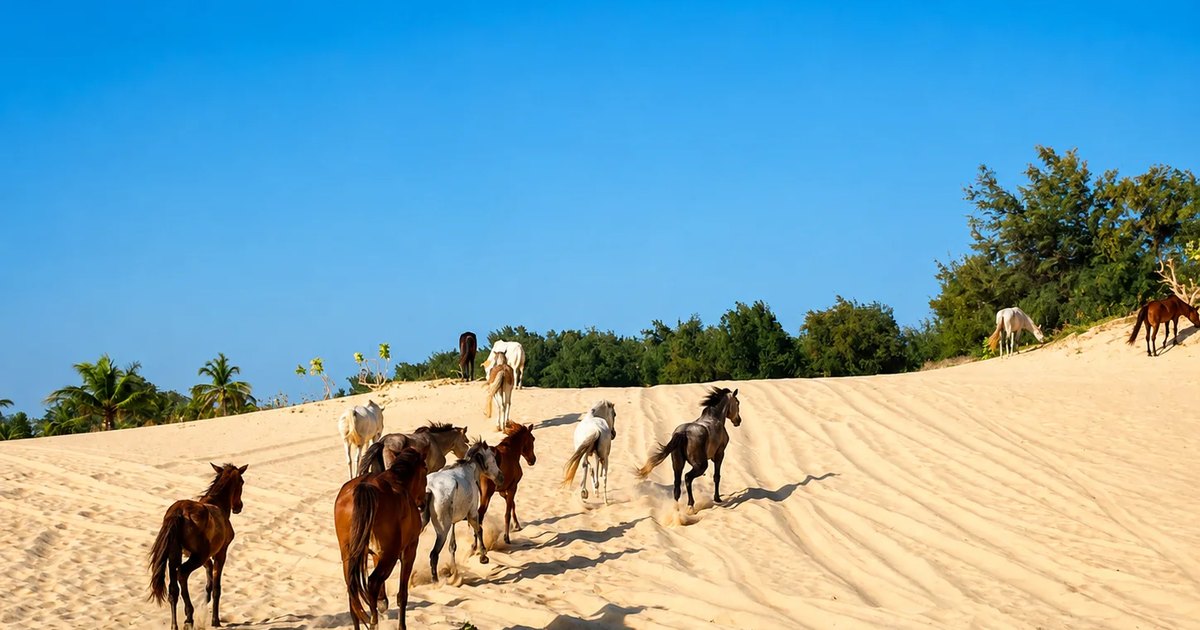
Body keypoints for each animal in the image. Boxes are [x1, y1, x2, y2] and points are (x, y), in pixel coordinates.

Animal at [148, 463, 248, 630]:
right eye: (241, 481)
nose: (238, 507)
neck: (217, 504)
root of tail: (179, 512)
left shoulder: (203, 556)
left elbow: (209, 580)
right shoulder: (220, 553)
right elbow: (216, 587)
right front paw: (215, 620)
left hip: (176, 553)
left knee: (173, 589)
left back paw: (175, 624)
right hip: (196, 557)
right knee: (182, 573)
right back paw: (189, 616)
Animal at [334, 448, 427, 630]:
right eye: (425, 469)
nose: (423, 501)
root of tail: (364, 487)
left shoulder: (376, 554)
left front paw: (382, 602)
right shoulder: (409, 549)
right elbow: (402, 594)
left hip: (349, 555)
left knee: (353, 595)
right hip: (390, 556)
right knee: (372, 582)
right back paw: (373, 621)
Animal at [422, 440, 504, 582]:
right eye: (493, 459)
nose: (501, 477)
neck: (469, 470)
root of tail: (429, 488)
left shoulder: (453, 522)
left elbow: (452, 546)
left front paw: (453, 570)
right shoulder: (473, 514)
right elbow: (479, 530)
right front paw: (483, 557)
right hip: (442, 530)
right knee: (433, 554)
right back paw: (436, 581)